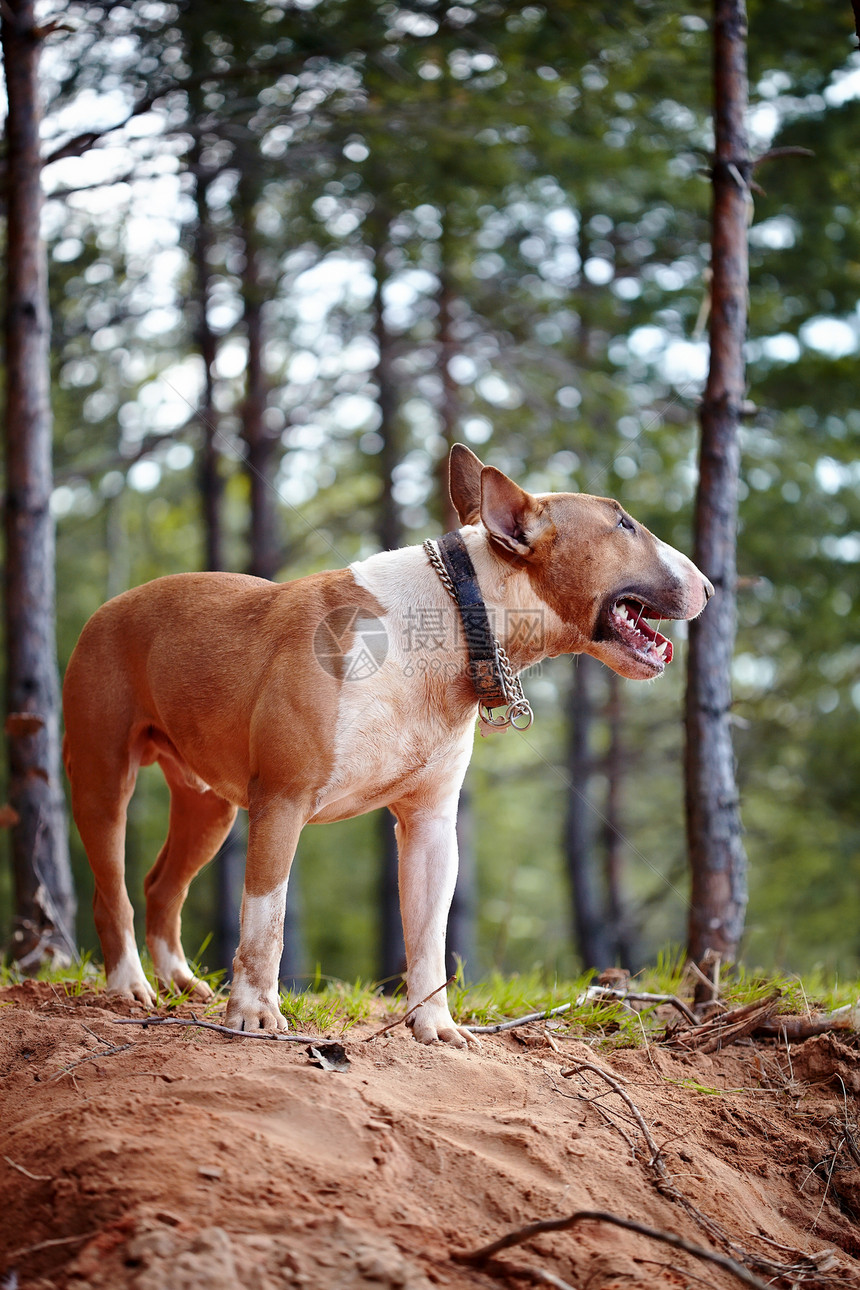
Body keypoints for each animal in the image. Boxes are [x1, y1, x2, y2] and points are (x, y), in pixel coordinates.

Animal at [63, 448, 711, 1042]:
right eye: (623, 524)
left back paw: (177, 978)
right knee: (112, 891)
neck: (455, 617)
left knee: (161, 886)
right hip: (103, 779)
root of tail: (108, 607)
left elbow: (428, 935)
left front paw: (436, 1025)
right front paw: (253, 1013)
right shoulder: (281, 802)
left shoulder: (429, 825)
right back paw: (129, 985)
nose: (708, 584)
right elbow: (265, 918)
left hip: (209, 807)